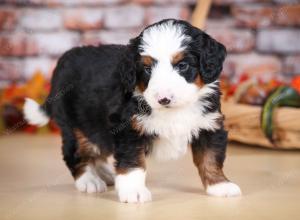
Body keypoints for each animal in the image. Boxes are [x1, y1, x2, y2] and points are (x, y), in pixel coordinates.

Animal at [24, 18, 243, 203]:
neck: (173, 110)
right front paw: (133, 192)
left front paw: (220, 186)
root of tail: (61, 65)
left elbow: (210, 158)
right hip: (75, 124)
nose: (163, 99)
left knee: (98, 149)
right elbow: (132, 163)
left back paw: (105, 173)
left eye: (182, 65)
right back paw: (89, 180)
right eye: (147, 69)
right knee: (76, 153)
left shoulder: (209, 124)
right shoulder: (128, 129)